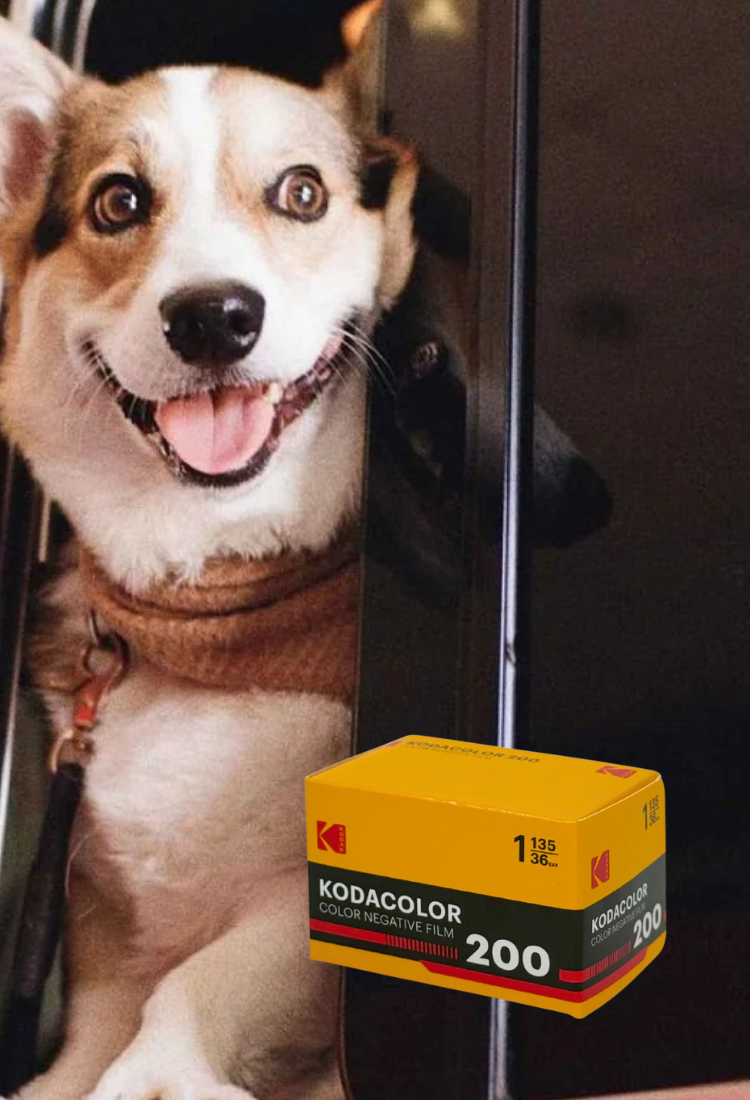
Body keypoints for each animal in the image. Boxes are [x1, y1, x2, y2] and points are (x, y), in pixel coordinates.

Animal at [0, 12, 417, 1100]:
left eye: (302, 191)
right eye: (119, 200)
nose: (213, 316)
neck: (216, 575)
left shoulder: (295, 915)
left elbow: (203, 977)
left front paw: (155, 1074)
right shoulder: (99, 941)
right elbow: (92, 1036)